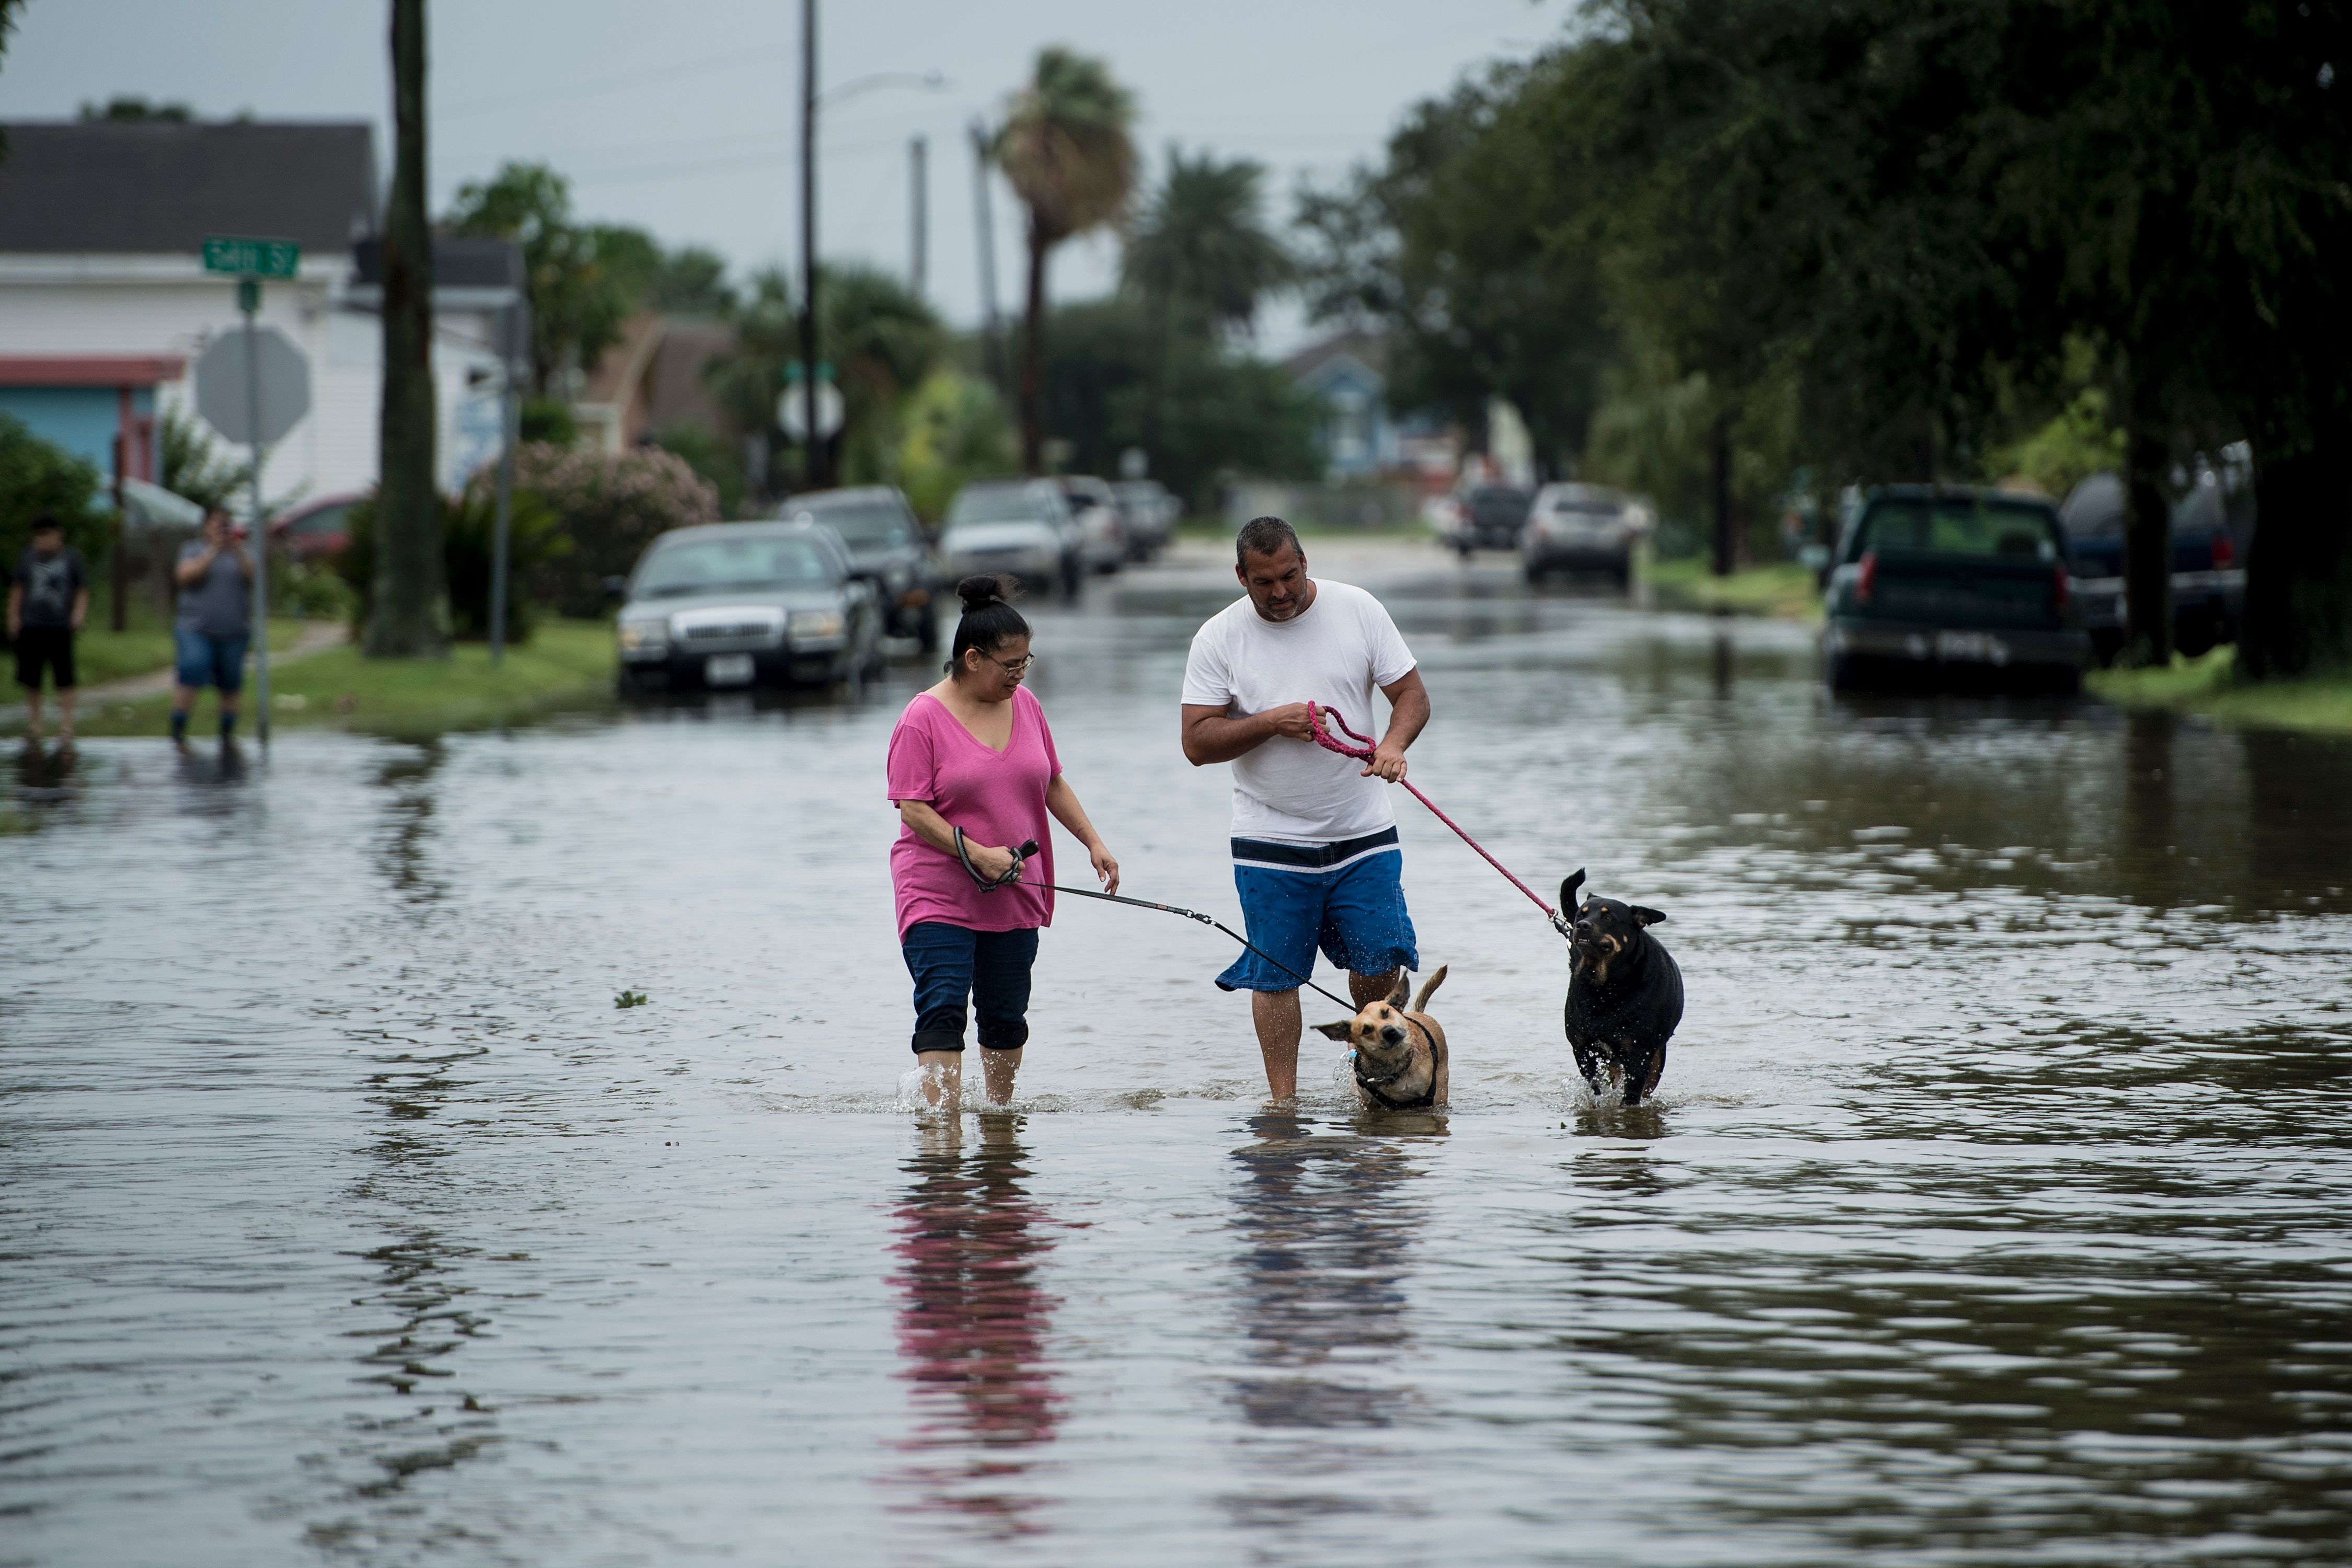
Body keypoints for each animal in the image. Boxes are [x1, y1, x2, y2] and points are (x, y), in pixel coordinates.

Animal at [1308, 964, 1449, 1109]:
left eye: (1385, 1013)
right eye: (1366, 1030)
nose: (1389, 1031)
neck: (1393, 1070)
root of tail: (1417, 1013)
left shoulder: (1429, 1099)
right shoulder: (1368, 1102)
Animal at [1562, 870, 1675, 1104]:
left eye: (1608, 917)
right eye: (1580, 915)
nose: (1582, 925)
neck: (1605, 988)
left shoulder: (1640, 1053)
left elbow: (1632, 1094)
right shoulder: (1582, 1048)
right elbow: (1595, 1088)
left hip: (1658, 1055)